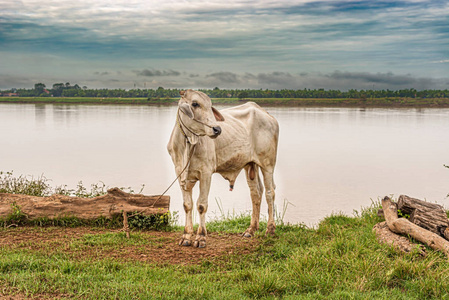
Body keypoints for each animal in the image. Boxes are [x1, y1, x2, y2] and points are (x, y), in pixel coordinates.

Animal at [167, 89, 278, 248]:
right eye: (195, 104)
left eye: (210, 105)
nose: (217, 129)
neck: (187, 143)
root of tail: (266, 113)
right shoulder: (180, 173)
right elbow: (187, 205)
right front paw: (186, 236)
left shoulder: (206, 173)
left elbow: (201, 205)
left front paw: (201, 237)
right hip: (250, 165)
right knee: (256, 193)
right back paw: (251, 229)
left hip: (267, 164)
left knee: (270, 193)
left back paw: (270, 229)